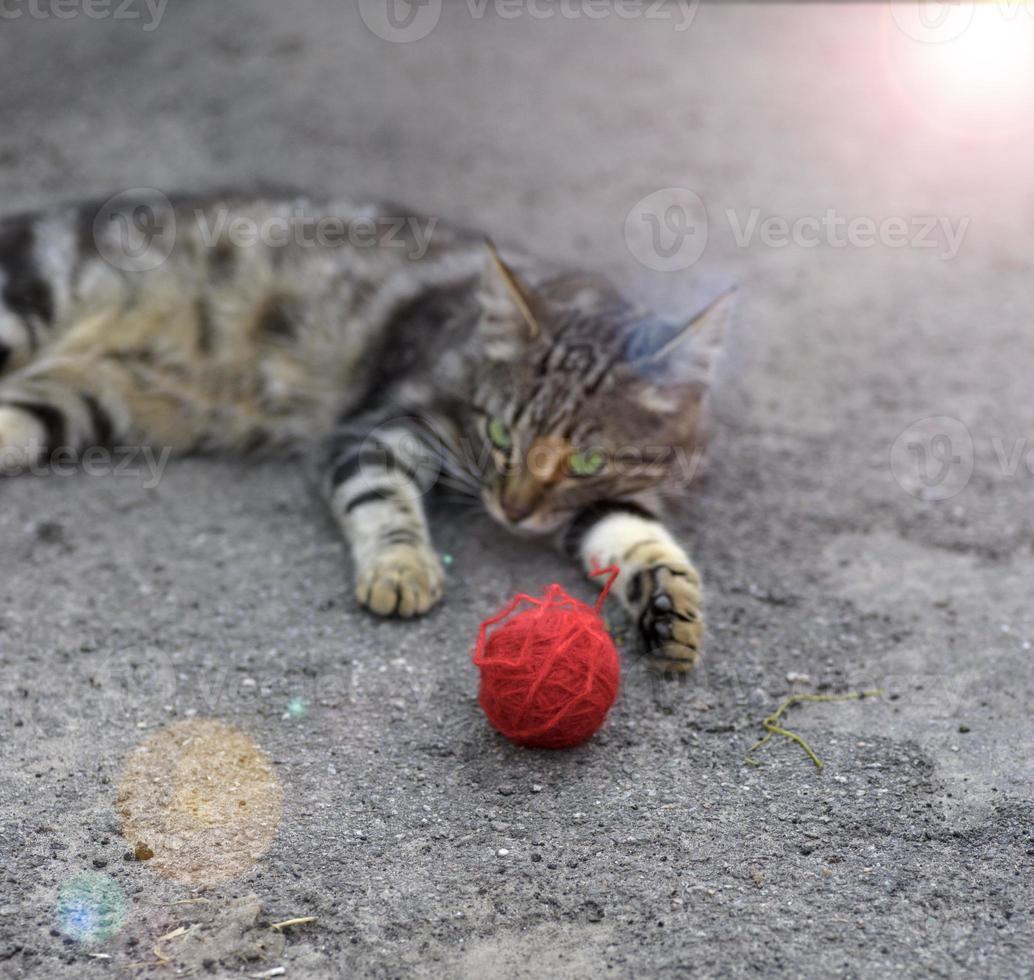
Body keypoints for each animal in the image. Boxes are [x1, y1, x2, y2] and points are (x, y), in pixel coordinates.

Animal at [0, 189, 732, 674]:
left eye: (585, 463)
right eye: (500, 433)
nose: (512, 512)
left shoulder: (610, 501)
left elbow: (640, 539)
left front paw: (667, 605)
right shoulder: (379, 424)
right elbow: (381, 500)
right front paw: (402, 567)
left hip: (82, 402)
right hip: (28, 299)